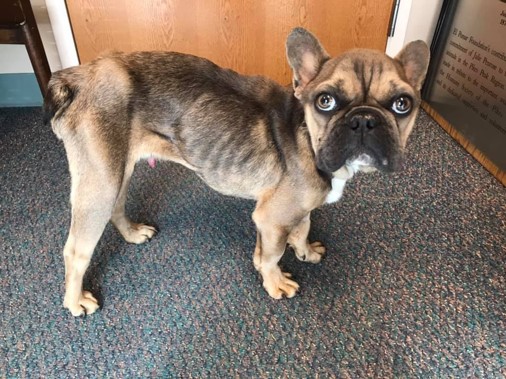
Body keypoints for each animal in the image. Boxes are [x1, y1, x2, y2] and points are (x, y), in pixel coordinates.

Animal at [45, 27, 428, 318]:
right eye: (326, 101)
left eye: (402, 104)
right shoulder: (271, 218)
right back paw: (75, 301)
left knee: (117, 208)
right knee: (76, 250)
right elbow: (272, 255)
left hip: (116, 171)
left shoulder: (288, 211)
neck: (306, 135)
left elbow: (301, 228)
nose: (364, 119)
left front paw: (304, 251)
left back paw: (132, 233)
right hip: (101, 182)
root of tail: (80, 78)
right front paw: (275, 282)